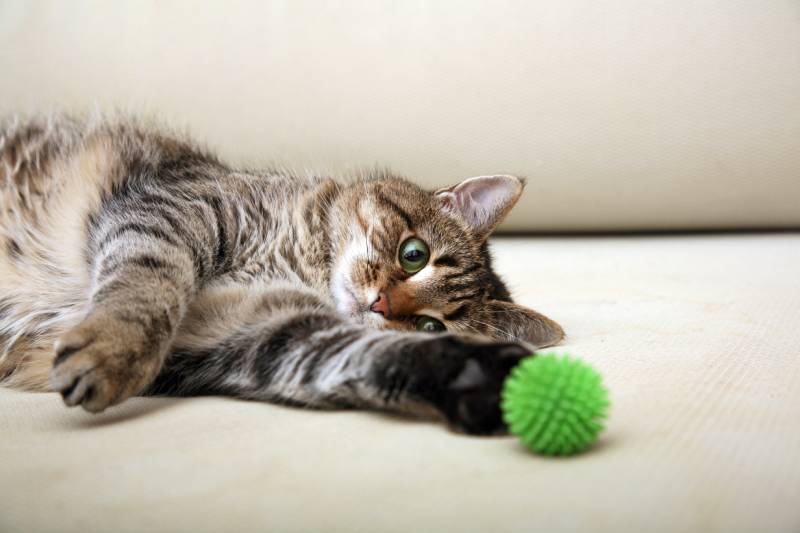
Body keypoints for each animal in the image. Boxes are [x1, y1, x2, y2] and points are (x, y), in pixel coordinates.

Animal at [0, 114, 564, 434]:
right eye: (413, 254)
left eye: (431, 325)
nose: (379, 304)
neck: (302, 266)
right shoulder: (178, 206)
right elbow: (148, 283)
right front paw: (113, 351)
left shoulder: (253, 332)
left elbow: (362, 354)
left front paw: (475, 375)